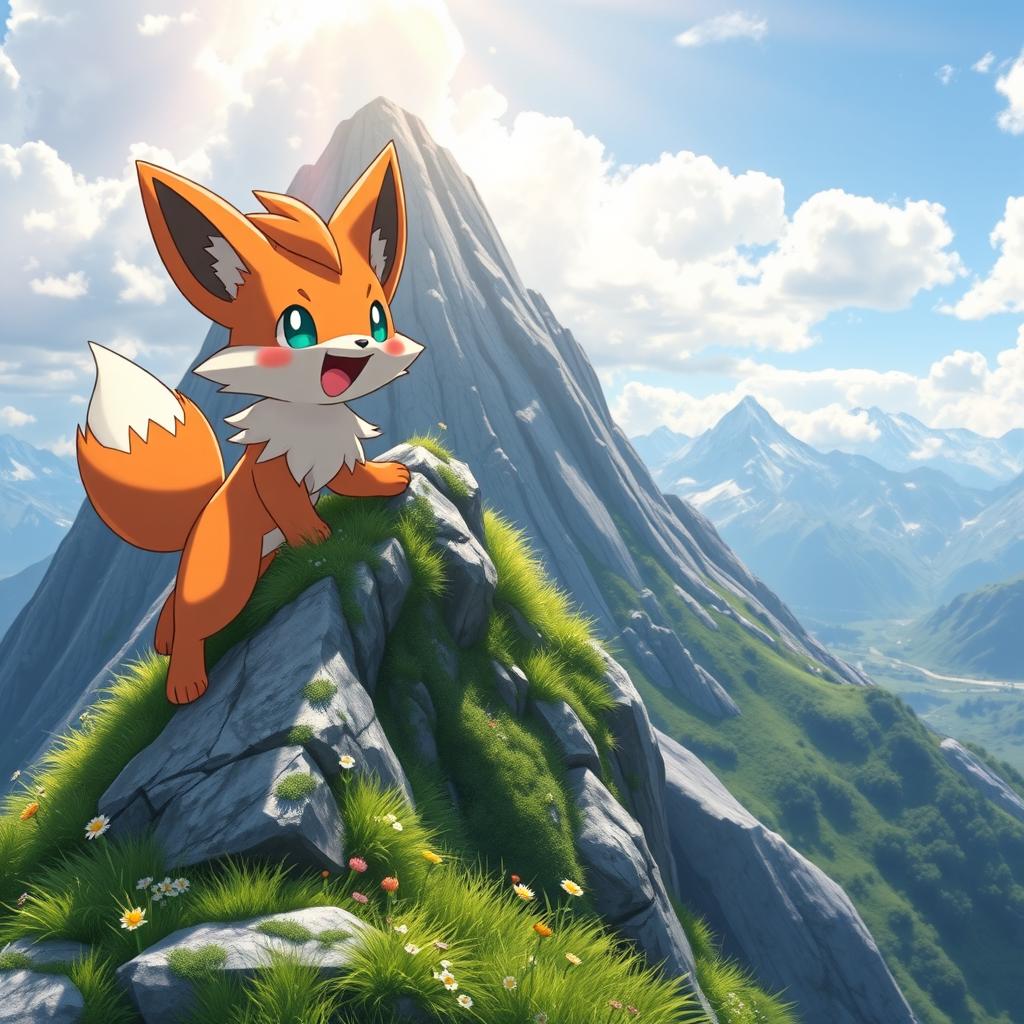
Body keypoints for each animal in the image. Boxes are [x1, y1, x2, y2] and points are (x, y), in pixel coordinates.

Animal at [77, 142, 423, 706]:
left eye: (377, 317)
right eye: (296, 328)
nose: (362, 346)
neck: (312, 417)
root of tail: (196, 524)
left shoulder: (337, 460)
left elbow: (357, 478)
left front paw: (392, 478)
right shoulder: (273, 472)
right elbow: (293, 507)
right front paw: (317, 534)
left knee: (178, 609)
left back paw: (165, 638)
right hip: (226, 580)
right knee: (194, 620)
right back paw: (184, 680)